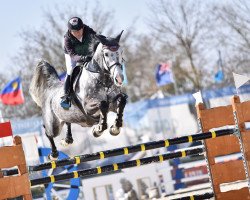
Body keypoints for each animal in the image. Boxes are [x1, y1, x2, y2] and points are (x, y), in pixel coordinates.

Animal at [29, 30, 127, 159]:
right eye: (106, 54)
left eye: (121, 52)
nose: (119, 78)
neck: (103, 82)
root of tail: (50, 89)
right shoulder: (88, 108)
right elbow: (103, 104)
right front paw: (98, 129)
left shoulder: (113, 104)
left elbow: (121, 100)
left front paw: (115, 128)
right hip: (54, 124)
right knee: (48, 132)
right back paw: (53, 154)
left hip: (67, 117)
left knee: (67, 123)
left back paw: (67, 140)